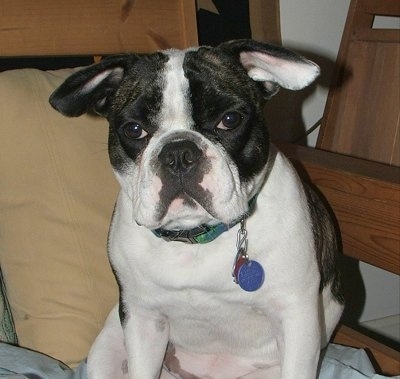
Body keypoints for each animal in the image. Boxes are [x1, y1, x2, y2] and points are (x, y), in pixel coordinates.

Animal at [50, 39, 344, 379]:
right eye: (134, 129)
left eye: (229, 120)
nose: (178, 153)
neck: (195, 237)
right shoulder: (143, 319)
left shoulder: (296, 318)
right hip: (104, 351)